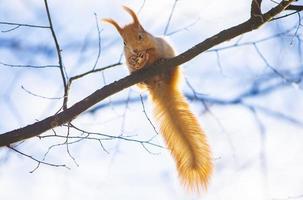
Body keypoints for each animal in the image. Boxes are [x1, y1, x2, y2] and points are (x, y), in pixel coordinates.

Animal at [103, 5, 213, 191]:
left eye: (140, 36)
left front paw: (147, 55)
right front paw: (135, 61)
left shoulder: (156, 43)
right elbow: (131, 64)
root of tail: (158, 83)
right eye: (124, 43)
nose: (134, 50)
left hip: (172, 64)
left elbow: (152, 51)